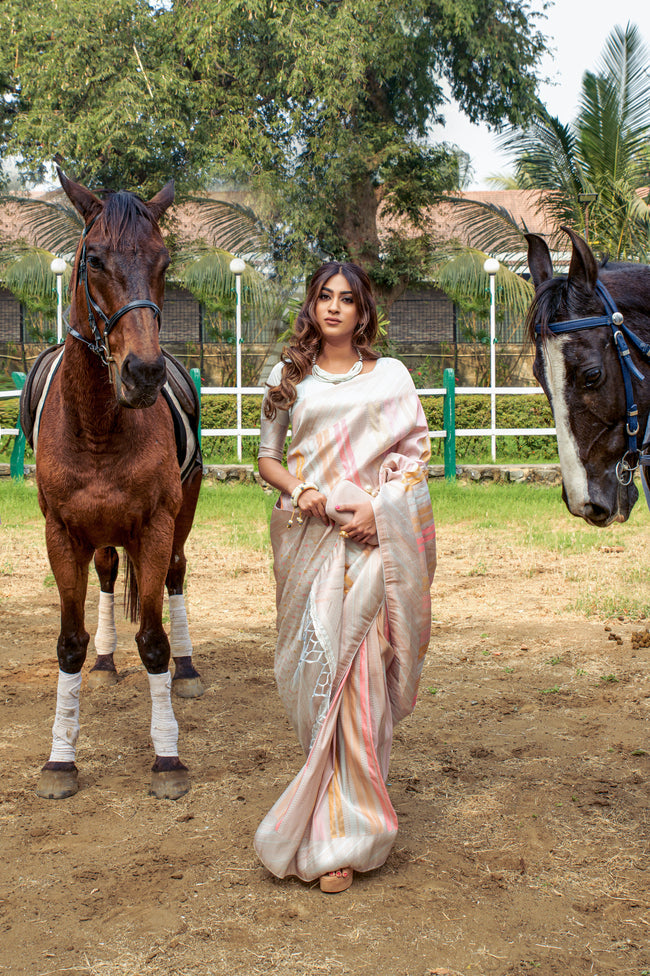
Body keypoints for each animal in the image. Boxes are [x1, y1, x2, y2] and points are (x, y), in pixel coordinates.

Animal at [21, 172, 202, 800]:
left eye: (164, 261)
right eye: (94, 259)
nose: (143, 373)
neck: (99, 425)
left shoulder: (155, 527)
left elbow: (153, 640)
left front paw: (168, 757)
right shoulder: (61, 533)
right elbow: (68, 642)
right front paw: (60, 759)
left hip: (182, 516)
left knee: (174, 575)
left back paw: (187, 670)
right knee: (104, 571)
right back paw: (104, 662)